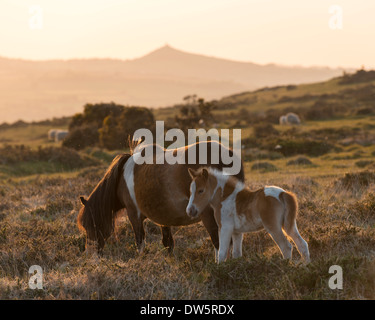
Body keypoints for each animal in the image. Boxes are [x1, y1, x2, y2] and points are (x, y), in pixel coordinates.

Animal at [78, 142, 245, 255]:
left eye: (90, 225)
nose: (90, 253)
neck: (121, 178)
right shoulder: (164, 217)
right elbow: (168, 243)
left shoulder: (133, 214)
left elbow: (140, 242)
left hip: (210, 215)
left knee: (219, 242)